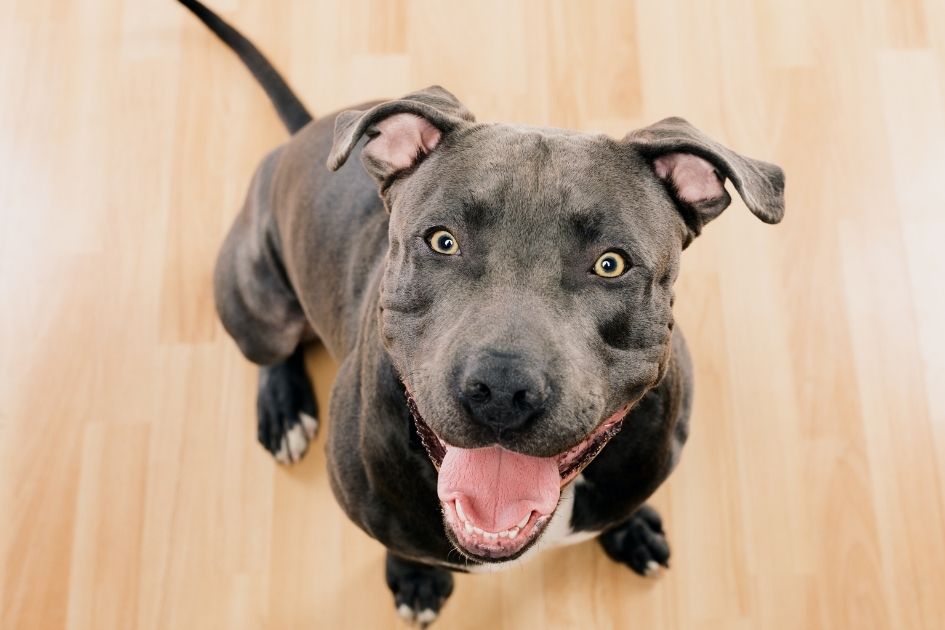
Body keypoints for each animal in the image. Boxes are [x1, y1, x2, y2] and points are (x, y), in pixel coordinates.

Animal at [181, 0, 784, 624]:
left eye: (611, 264)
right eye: (443, 241)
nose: (501, 390)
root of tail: (301, 132)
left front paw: (631, 529)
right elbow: (403, 547)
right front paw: (415, 578)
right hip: (257, 299)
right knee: (269, 350)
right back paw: (283, 409)